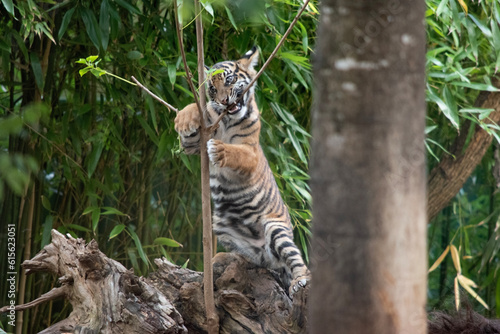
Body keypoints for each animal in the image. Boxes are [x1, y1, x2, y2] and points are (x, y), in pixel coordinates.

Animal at [175, 46, 308, 294]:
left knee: (295, 260)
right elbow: (198, 113)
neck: (227, 120)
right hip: (222, 227)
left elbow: (237, 153)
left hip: (276, 228)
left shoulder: (251, 152)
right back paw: (222, 259)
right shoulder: (194, 144)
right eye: (211, 88)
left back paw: (300, 280)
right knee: (255, 260)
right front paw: (184, 120)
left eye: (230, 79)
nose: (224, 100)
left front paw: (218, 149)